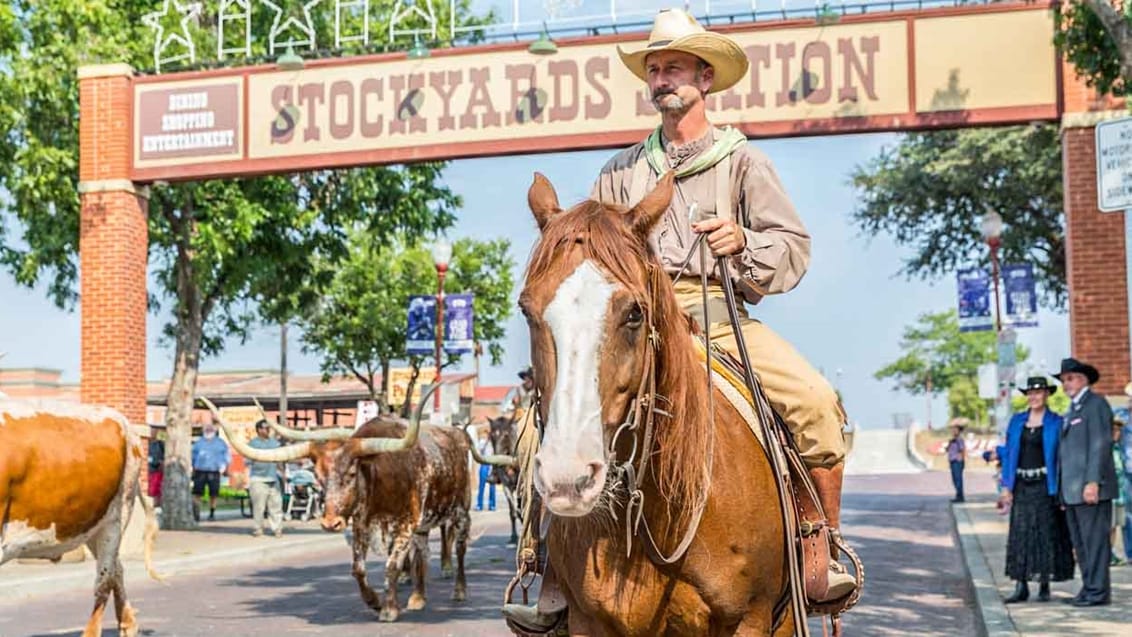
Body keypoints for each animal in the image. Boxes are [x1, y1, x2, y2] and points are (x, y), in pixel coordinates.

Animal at [0, 398, 161, 637]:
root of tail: (125, 423)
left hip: (117, 515)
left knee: (105, 579)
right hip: (93, 525)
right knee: (117, 569)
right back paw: (128, 624)